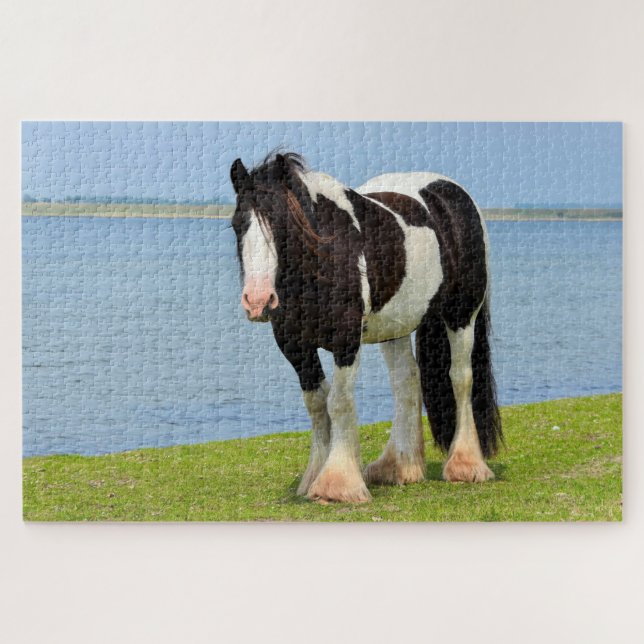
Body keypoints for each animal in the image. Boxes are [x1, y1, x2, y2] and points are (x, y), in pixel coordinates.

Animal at [229, 152, 502, 503]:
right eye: (237, 224)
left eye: (282, 224)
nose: (258, 301)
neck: (328, 254)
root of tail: (452, 194)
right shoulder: (295, 346)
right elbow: (317, 405)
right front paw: (315, 476)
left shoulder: (346, 341)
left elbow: (339, 403)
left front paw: (338, 483)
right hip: (395, 327)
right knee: (406, 382)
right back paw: (398, 467)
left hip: (461, 314)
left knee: (460, 378)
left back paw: (466, 465)